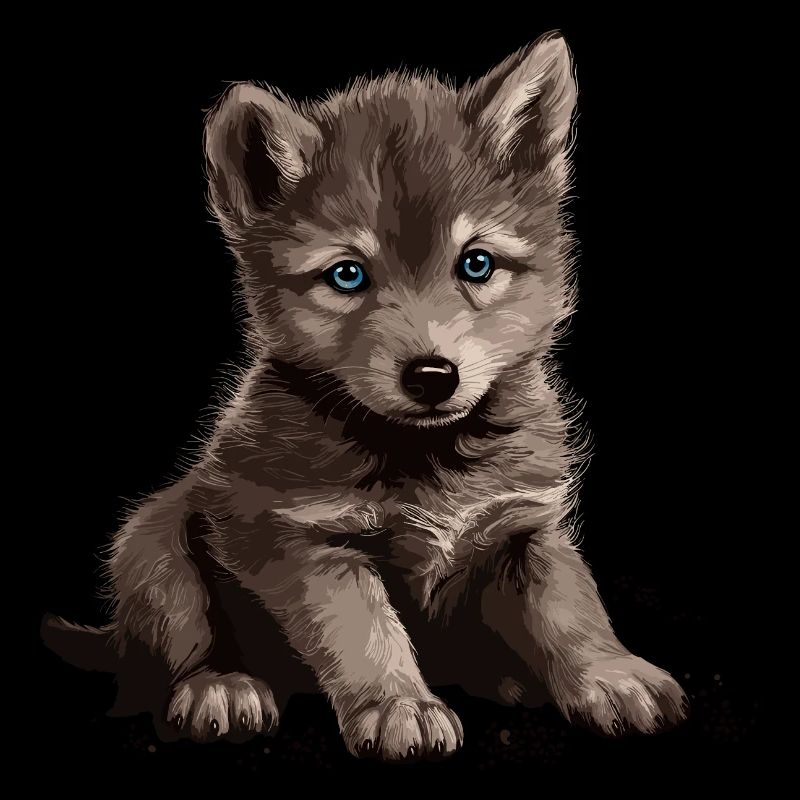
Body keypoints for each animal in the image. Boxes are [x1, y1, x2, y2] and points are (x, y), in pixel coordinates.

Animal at [42, 32, 687, 761]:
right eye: (347, 275)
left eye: (477, 263)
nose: (432, 376)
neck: (429, 455)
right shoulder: (306, 539)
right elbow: (366, 634)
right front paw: (398, 704)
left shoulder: (528, 527)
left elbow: (570, 606)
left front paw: (611, 674)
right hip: (153, 546)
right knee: (172, 650)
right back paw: (222, 686)